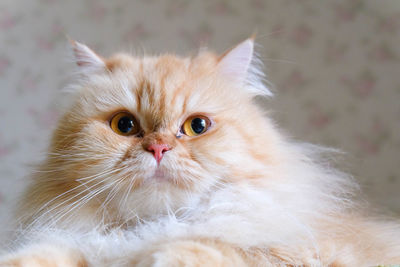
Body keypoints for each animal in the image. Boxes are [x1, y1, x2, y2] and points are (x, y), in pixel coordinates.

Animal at [0, 38, 400, 267]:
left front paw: (161, 254)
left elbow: (225, 248)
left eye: (197, 127)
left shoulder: (317, 251)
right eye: (124, 126)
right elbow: (45, 255)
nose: (158, 147)